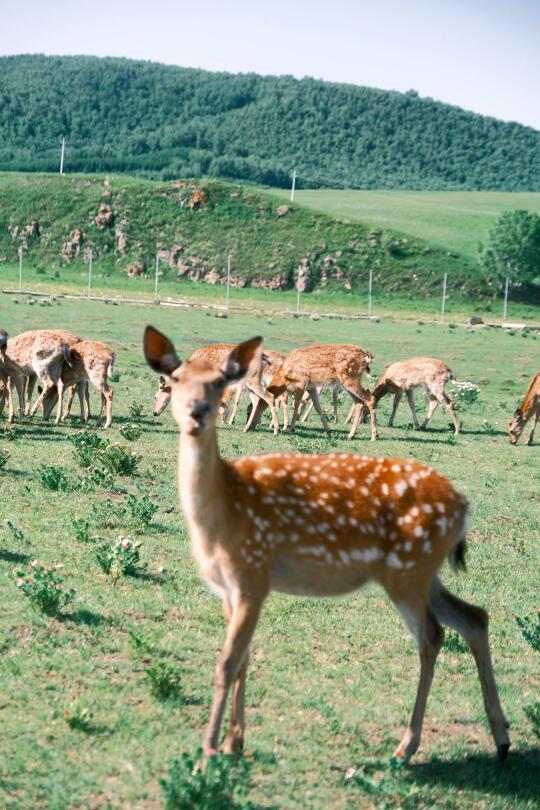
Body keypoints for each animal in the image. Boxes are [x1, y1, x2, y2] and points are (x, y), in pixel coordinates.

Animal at [248, 342, 376, 442]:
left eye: (253, 410)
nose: (251, 427)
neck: (284, 376)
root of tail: (367, 355)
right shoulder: (311, 386)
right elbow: (317, 407)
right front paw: (328, 432)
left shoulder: (302, 382)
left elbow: (296, 404)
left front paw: (291, 429)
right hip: (347, 382)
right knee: (359, 402)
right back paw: (350, 435)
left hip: (350, 379)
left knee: (369, 399)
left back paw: (374, 436)